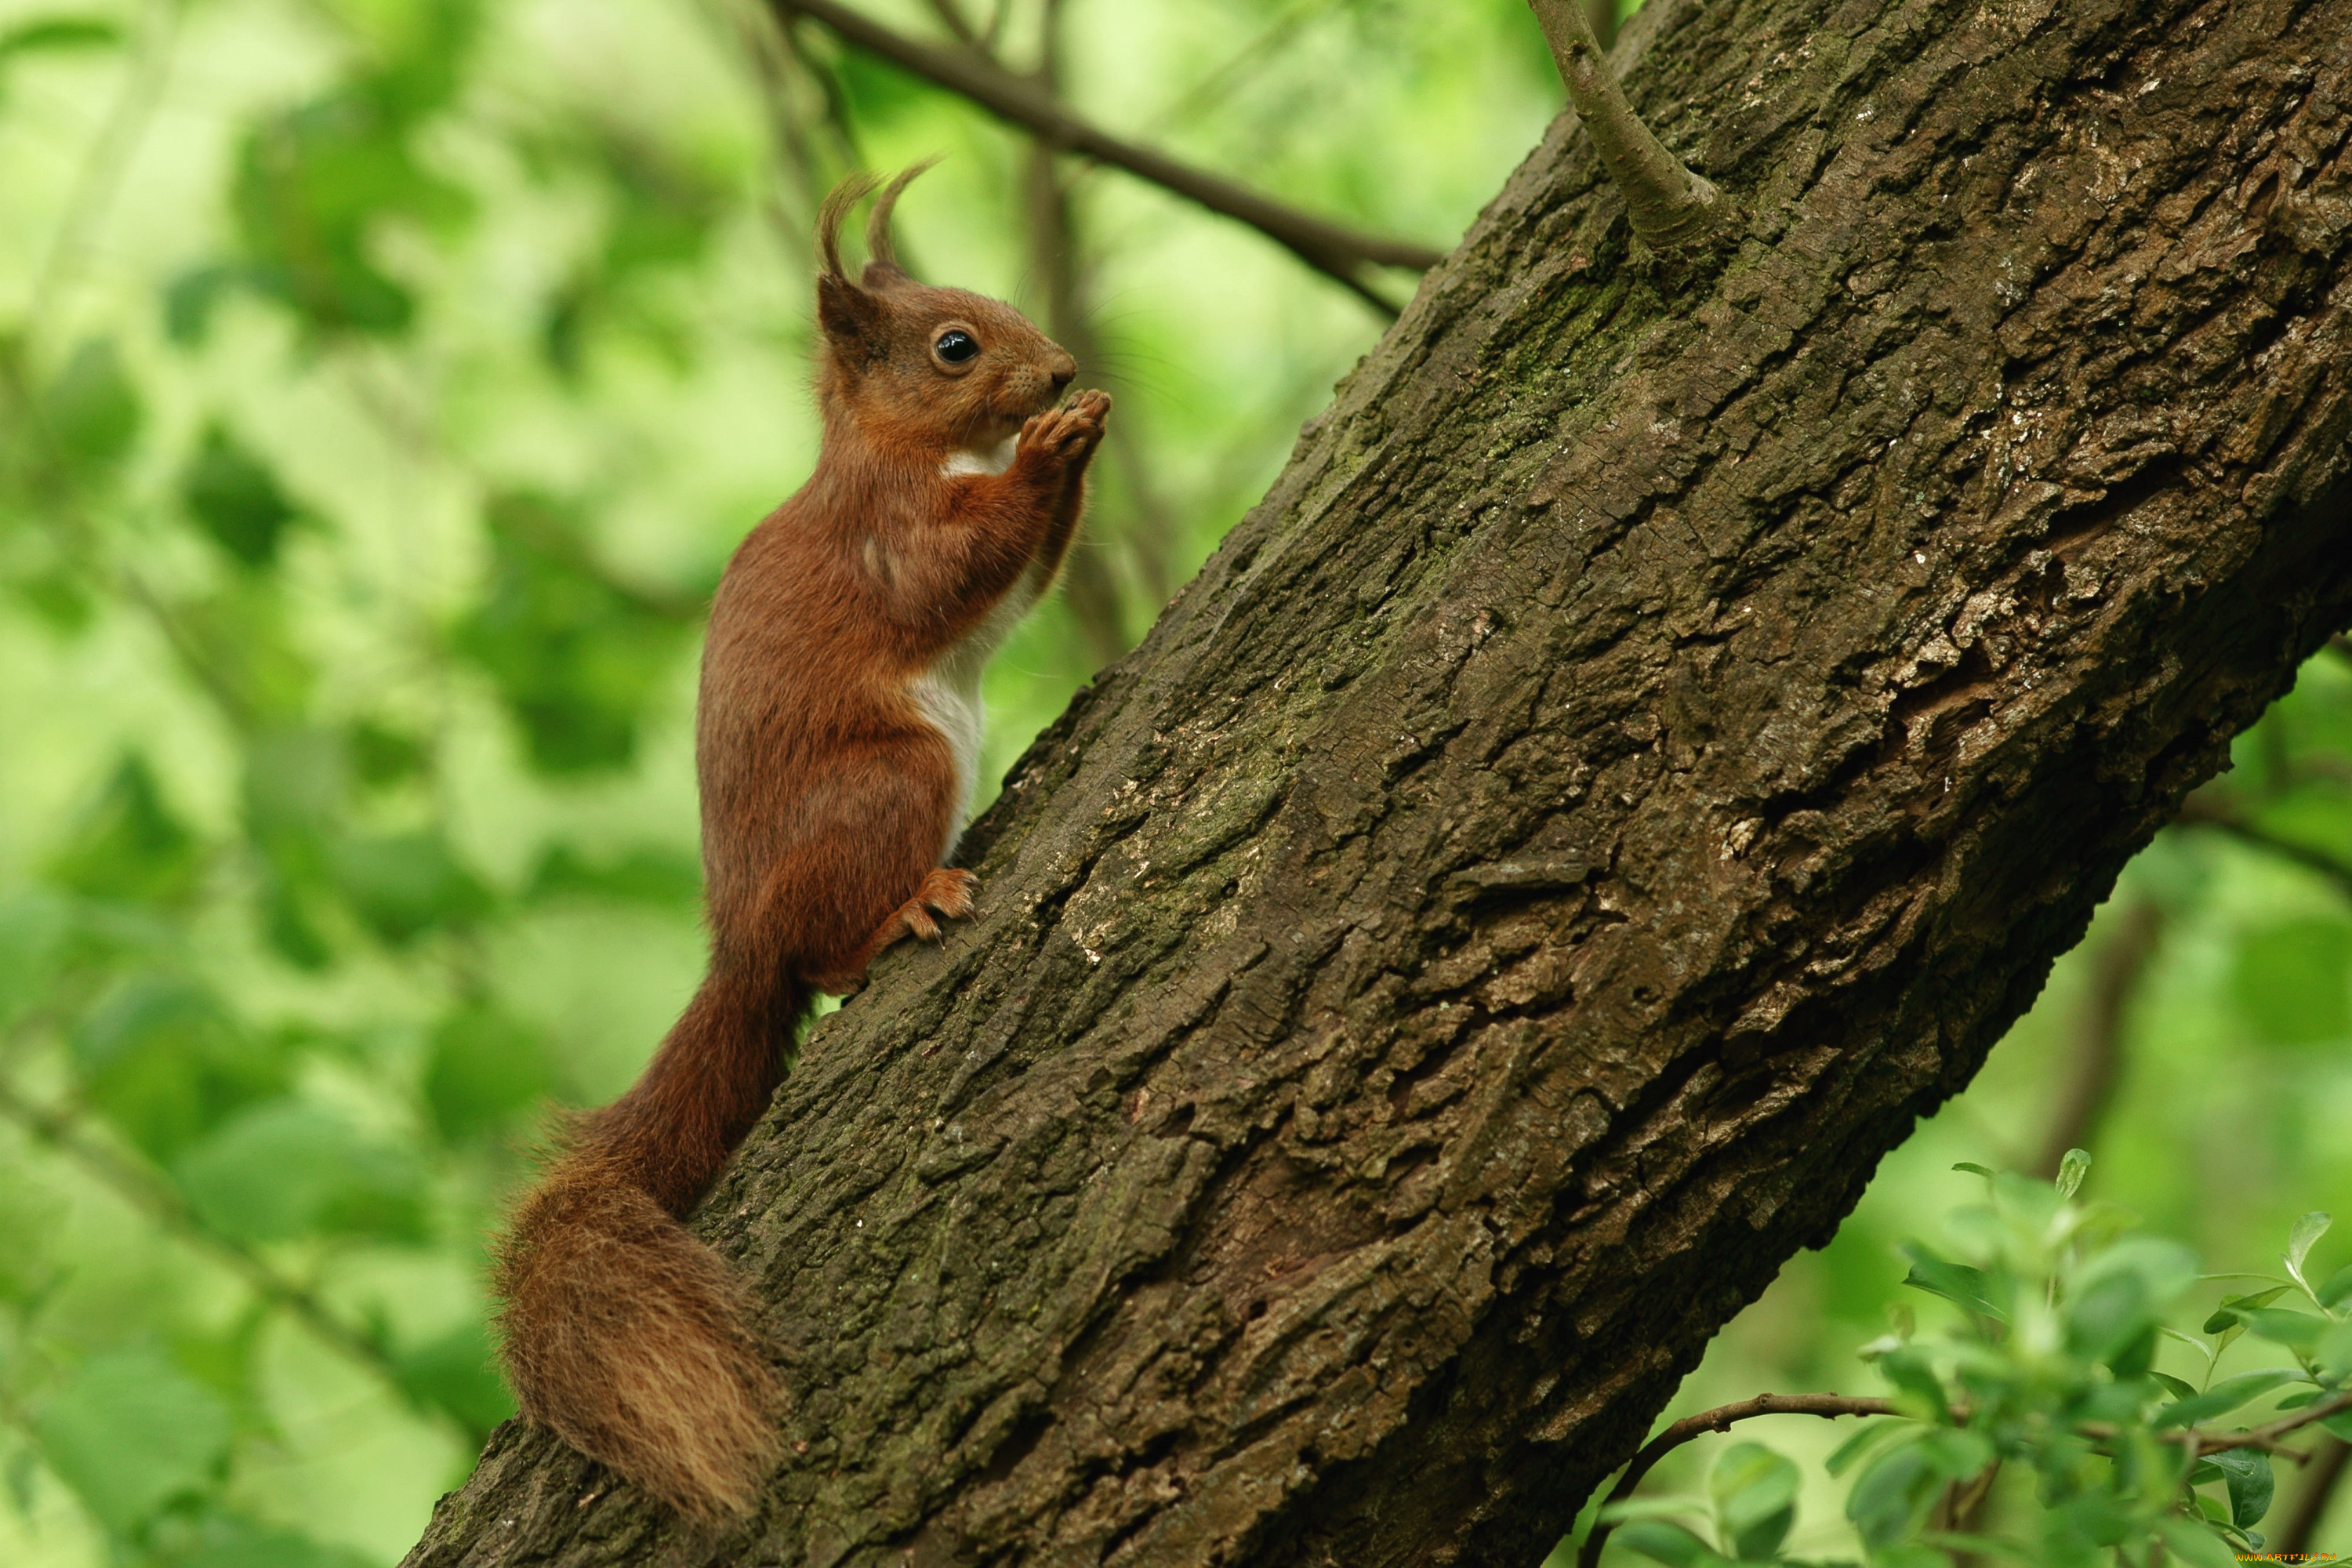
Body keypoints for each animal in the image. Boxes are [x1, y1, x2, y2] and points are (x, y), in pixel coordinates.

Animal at [489, 165, 1110, 1523]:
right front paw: (1052, 450)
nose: (1058, 369)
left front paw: (1080, 429)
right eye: (953, 346)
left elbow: (1032, 577)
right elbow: (954, 569)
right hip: (890, 785)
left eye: (994, 304)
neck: (919, 446)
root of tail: (742, 943)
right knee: (825, 957)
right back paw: (900, 916)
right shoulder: (892, 528)